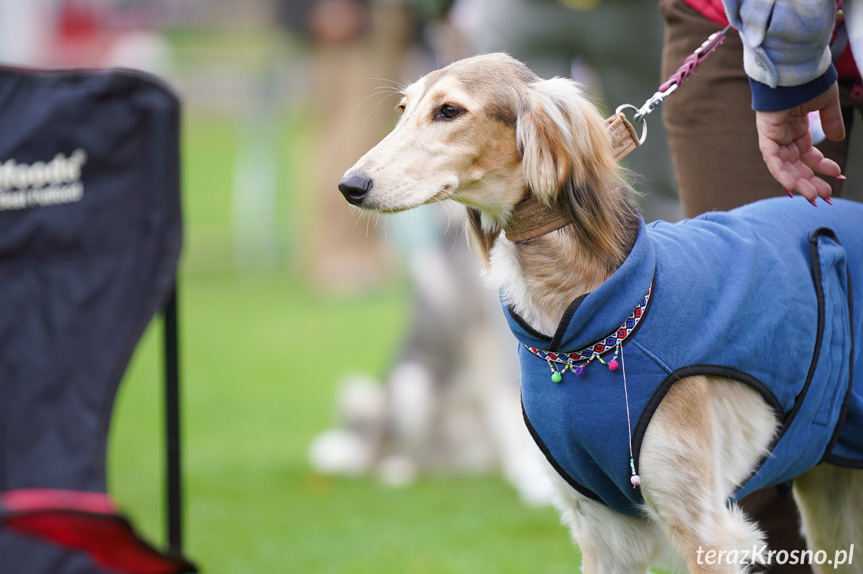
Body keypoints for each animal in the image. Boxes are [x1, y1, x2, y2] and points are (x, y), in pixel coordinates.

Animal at [338, 53, 863, 572]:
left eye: (449, 111)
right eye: (403, 108)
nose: (350, 186)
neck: (583, 327)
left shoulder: (700, 526)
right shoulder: (601, 526)